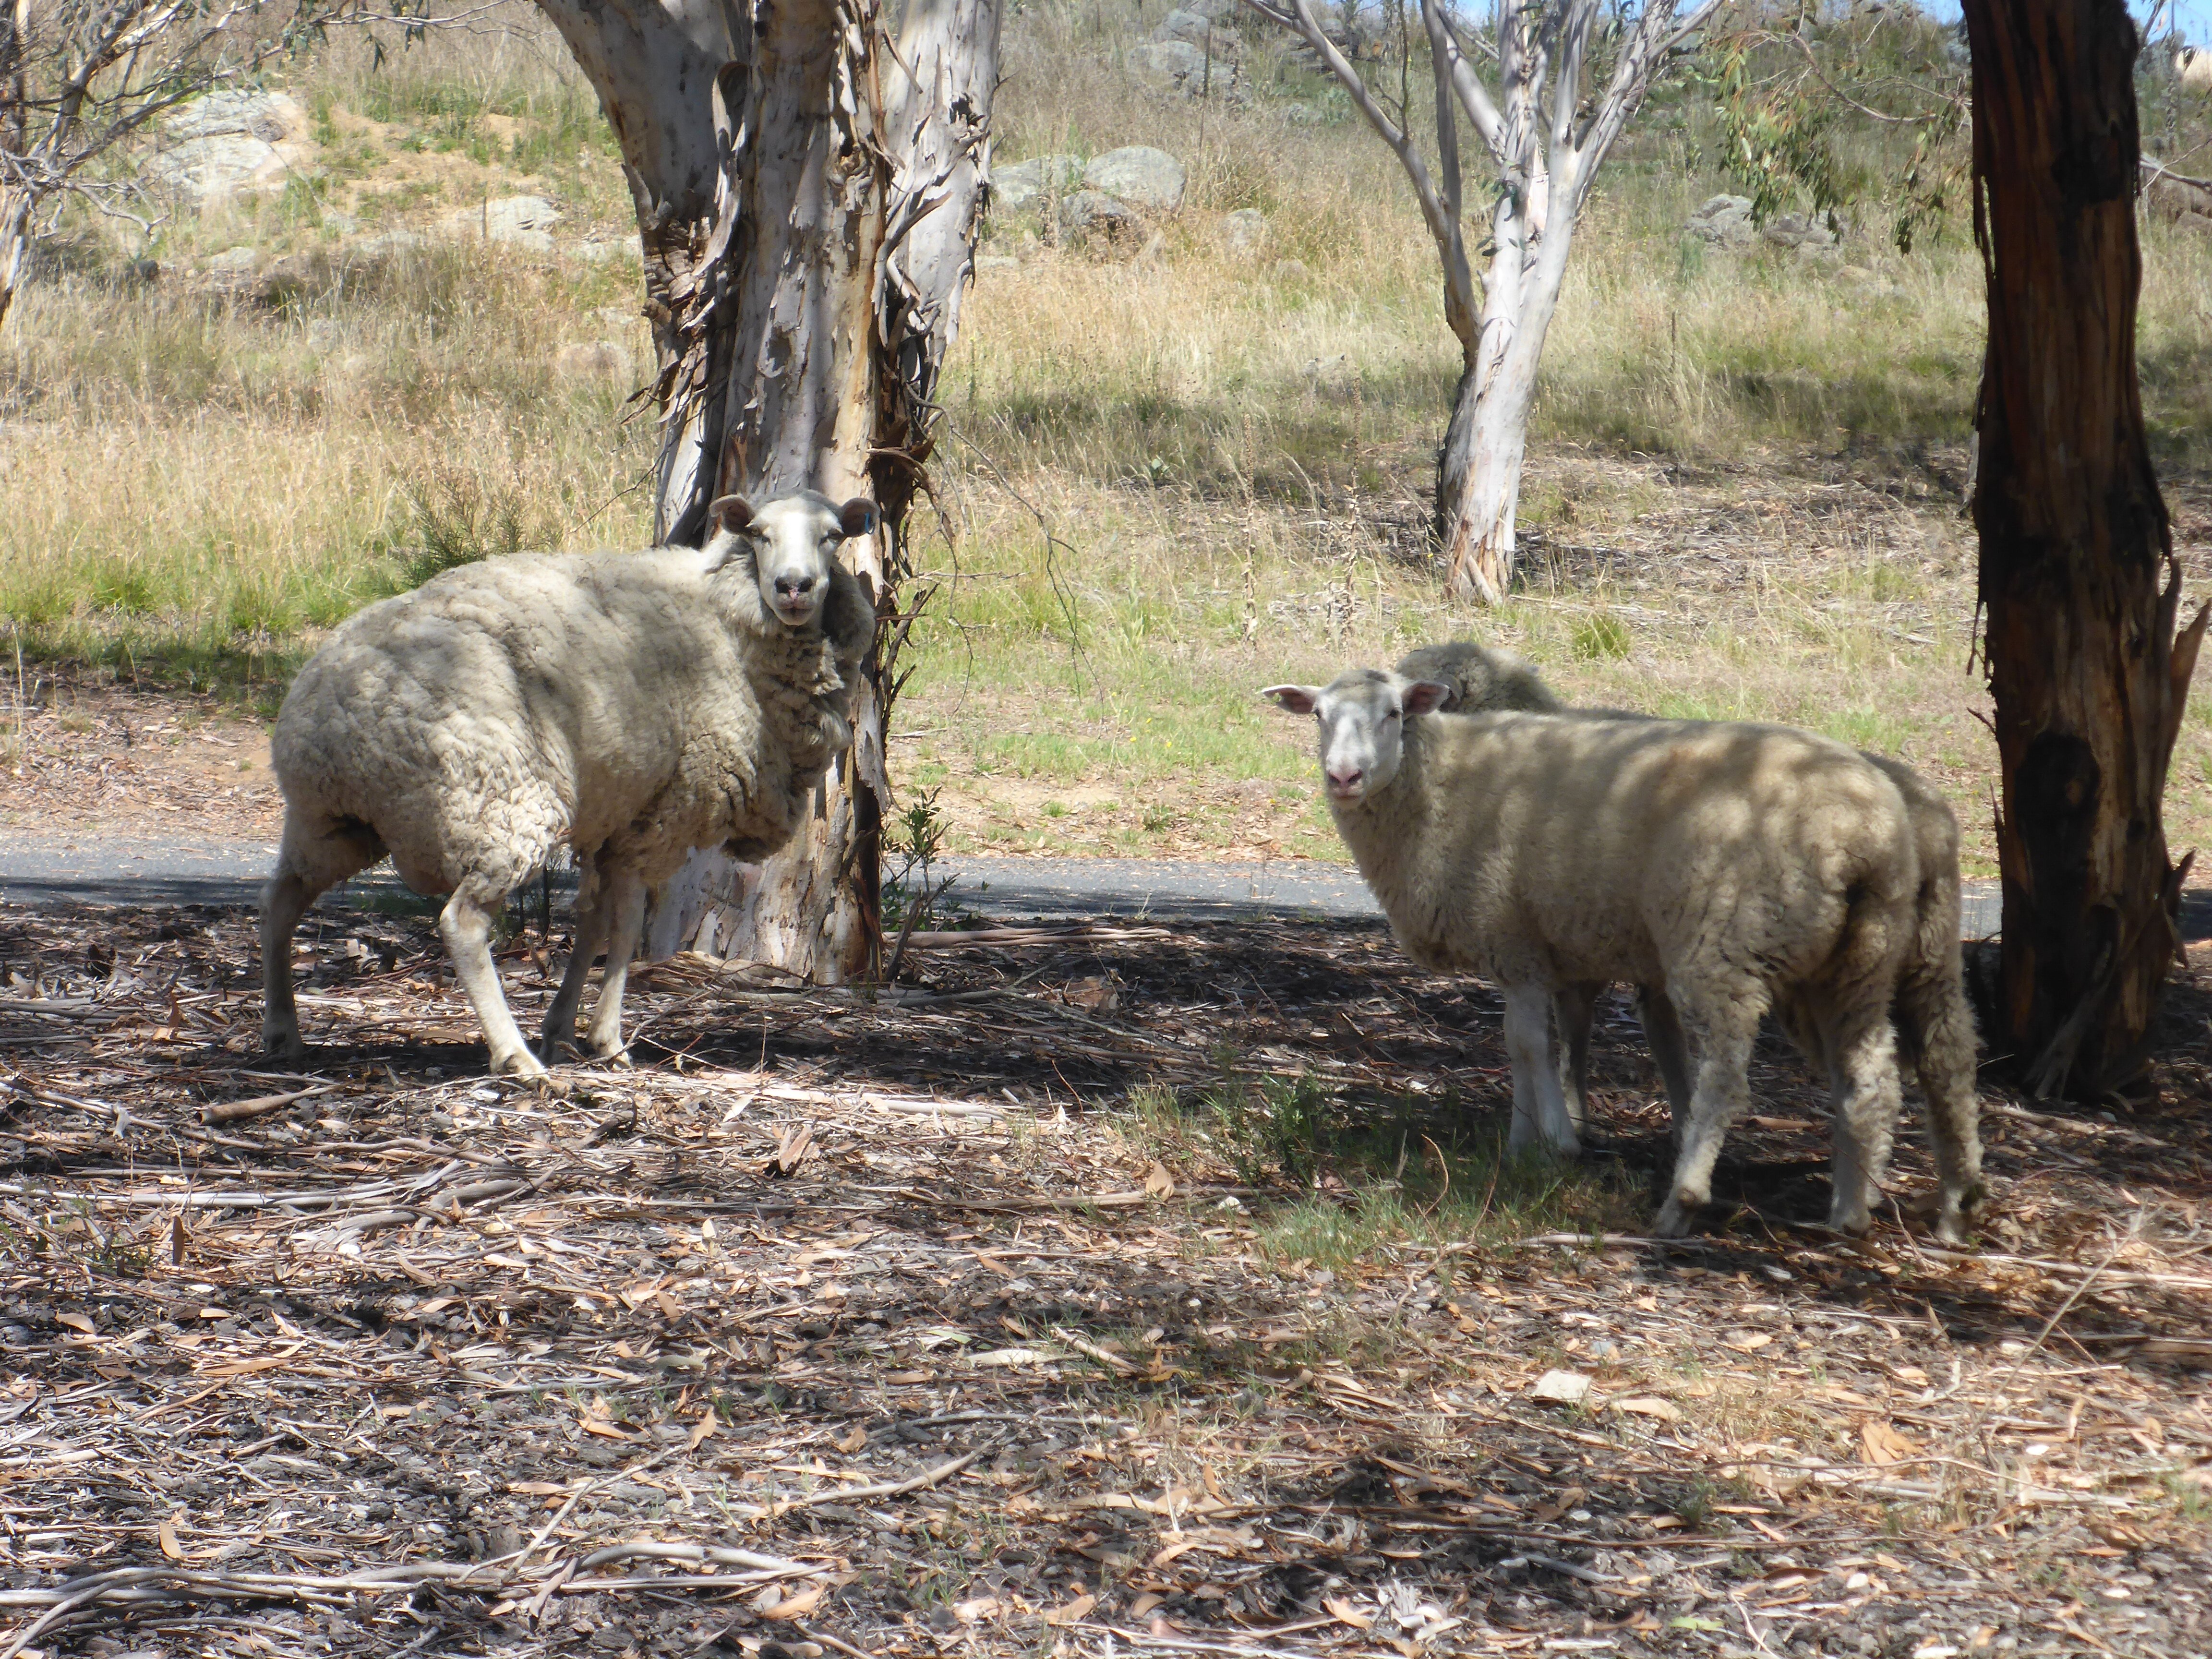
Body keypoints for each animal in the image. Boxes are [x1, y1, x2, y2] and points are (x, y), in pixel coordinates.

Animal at [263, 486, 876, 1079]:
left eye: (832, 535)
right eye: (760, 533)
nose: (793, 586)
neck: (728, 621)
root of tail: (338, 713)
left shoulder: (616, 815)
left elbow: (593, 924)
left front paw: (561, 1030)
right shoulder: (659, 816)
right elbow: (624, 926)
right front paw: (606, 1040)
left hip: (329, 821)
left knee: (281, 901)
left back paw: (282, 1032)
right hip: (499, 803)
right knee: (462, 923)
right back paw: (516, 1059)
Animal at [1265, 668, 1991, 1247]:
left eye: (1394, 713)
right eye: (1320, 716)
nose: (1344, 777)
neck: (1435, 785)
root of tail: (1867, 833)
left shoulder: (1512, 936)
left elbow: (1527, 1043)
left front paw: (1546, 1145)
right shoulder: (1543, 953)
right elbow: (1538, 1043)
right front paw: (1529, 1140)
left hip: (1726, 942)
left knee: (1728, 1079)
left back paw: (1685, 1203)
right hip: (1878, 958)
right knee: (1906, 1068)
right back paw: (1893, 1211)